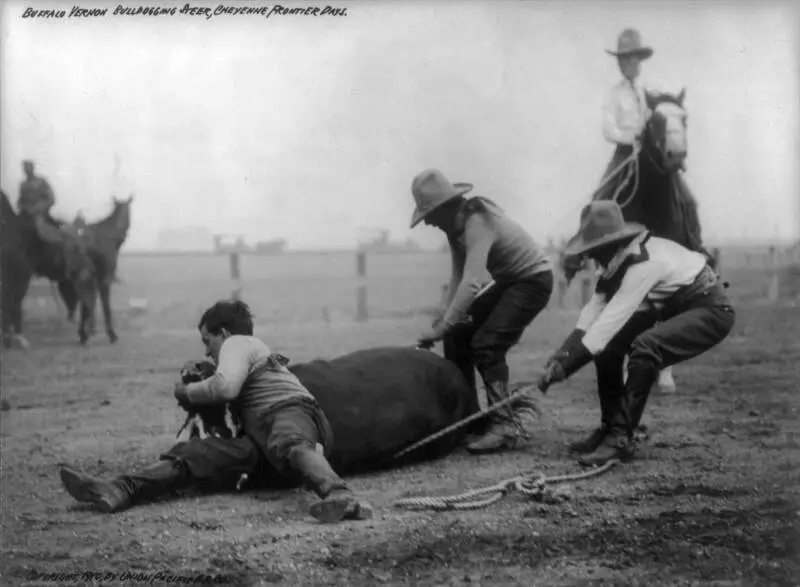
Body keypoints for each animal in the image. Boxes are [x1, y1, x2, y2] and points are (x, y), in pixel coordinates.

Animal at [58, 198, 133, 344]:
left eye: (127, 210)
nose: (123, 231)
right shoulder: (103, 278)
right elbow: (105, 305)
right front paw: (111, 334)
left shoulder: (93, 279)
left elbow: (90, 303)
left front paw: (87, 332)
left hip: (77, 277)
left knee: (81, 301)